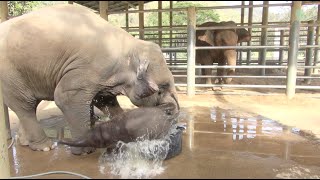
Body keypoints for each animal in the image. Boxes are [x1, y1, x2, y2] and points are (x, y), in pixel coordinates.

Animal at [0, 4, 180, 155]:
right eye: (161, 88)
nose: (171, 111)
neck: (129, 45)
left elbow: (105, 99)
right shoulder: (87, 68)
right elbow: (65, 97)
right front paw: (85, 151)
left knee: (29, 104)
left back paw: (25, 143)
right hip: (10, 73)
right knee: (25, 104)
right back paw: (45, 147)